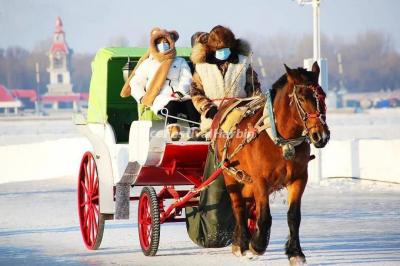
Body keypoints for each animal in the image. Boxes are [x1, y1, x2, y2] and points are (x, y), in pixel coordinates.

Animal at [214, 62, 330, 264]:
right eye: (301, 97)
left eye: (323, 95)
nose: (321, 135)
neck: (282, 141)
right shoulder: (261, 181)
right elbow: (264, 217)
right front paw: (257, 245)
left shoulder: (299, 178)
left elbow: (294, 216)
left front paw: (295, 252)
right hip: (230, 174)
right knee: (239, 207)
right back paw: (243, 244)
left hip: (247, 181)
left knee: (246, 205)